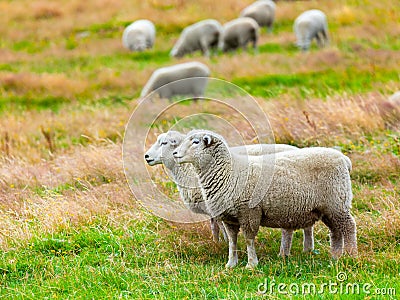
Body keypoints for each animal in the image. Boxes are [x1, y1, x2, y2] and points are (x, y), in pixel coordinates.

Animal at [145, 131, 316, 253]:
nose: (146, 156)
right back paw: (306, 249)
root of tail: (296, 148)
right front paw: (218, 243)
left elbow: (220, 226)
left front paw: (224, 243)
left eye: (164, 143)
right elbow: (215, 226)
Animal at [173, 130, 358, 268]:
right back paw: (335, 256)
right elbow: (232, 241)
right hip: (327, 208)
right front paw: (231, 264)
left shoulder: (248, 212)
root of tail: (344, 159)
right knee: (335, 231)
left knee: (349, 227)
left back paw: (350, 255)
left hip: (337, 201)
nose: (175, 154)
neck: (229, 171)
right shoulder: (229, 217)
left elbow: (249, 239)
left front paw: (251, 264)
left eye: (195, 142)